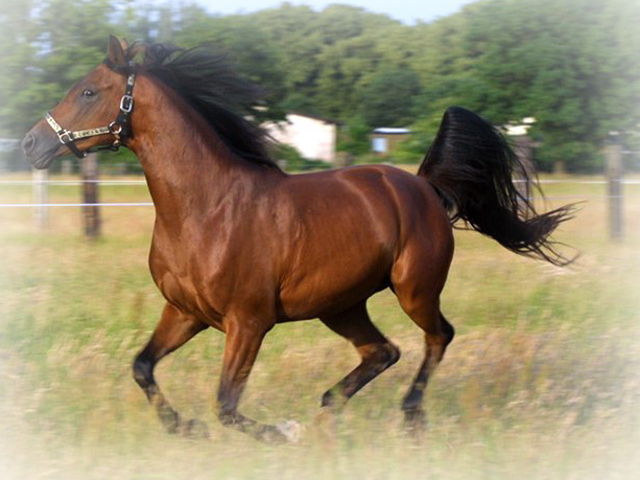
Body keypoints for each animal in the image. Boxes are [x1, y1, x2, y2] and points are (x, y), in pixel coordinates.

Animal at [21, 36, 576, 442]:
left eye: (89, 91)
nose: (30, 142)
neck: (206, 209)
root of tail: (424, 186)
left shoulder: (249, 322)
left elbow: (226, 404)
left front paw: (280, 432)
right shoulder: (185, 313)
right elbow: (142, 367)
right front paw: (185, 428)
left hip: (414, 289)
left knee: (438, 337)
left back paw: (410, 416)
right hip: (341, 304)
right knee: (383, 352)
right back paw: (329, 410)